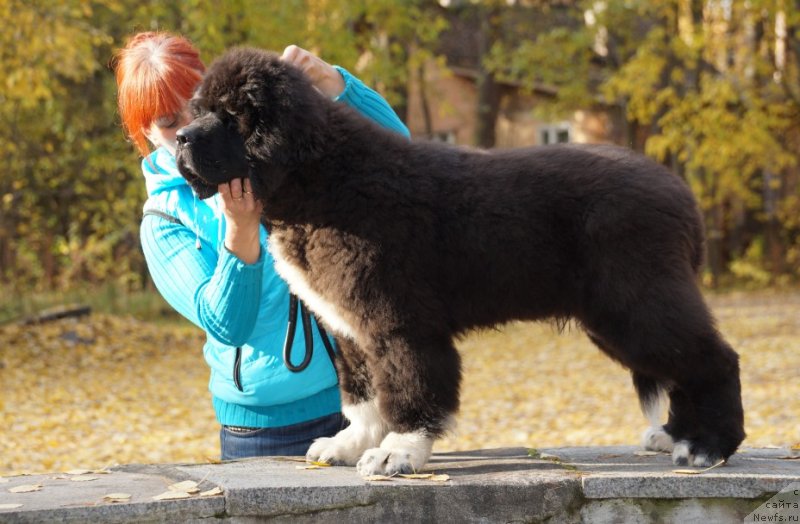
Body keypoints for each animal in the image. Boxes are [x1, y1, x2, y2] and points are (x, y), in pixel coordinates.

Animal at [175, 48, 744, 474]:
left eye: (233, 116)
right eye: (199, 110)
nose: (180, 139)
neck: (324, 181)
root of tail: (682, 193)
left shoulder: (399, 322)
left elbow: (407, 388)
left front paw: (397, 453)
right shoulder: (348, 328)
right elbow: (361, 394)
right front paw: (350, 444)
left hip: (637, 302)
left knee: (713, 358)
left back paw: (709, 444)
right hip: (618, 316)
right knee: (682, 367)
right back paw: (676, 435)